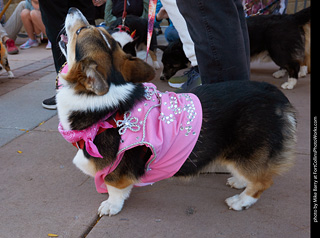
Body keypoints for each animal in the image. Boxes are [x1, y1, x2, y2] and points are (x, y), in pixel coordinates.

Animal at [57, 7, 298, 217]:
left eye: (80, 31)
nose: (71, 9)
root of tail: (275, 96)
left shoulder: (117, 169)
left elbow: (114, 188)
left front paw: (110, 206)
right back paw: (238, 181)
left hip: (247, 149)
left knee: (262, 181)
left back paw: (241, 200)